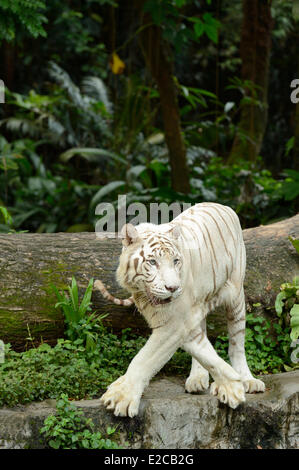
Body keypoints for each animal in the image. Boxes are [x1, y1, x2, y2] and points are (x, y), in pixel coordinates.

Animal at [95, 204, 264, 416]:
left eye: (175, 261)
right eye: (152, 262)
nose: (173, 288)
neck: (143, 293)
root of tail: (222, 206)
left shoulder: (175, 323)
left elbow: (145, 358)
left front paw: (121, 397)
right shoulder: (180, 321)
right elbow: (204, 351)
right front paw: (231, 385)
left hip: (236, 296)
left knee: (237, 343)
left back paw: (248, 379)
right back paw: (198, 378)